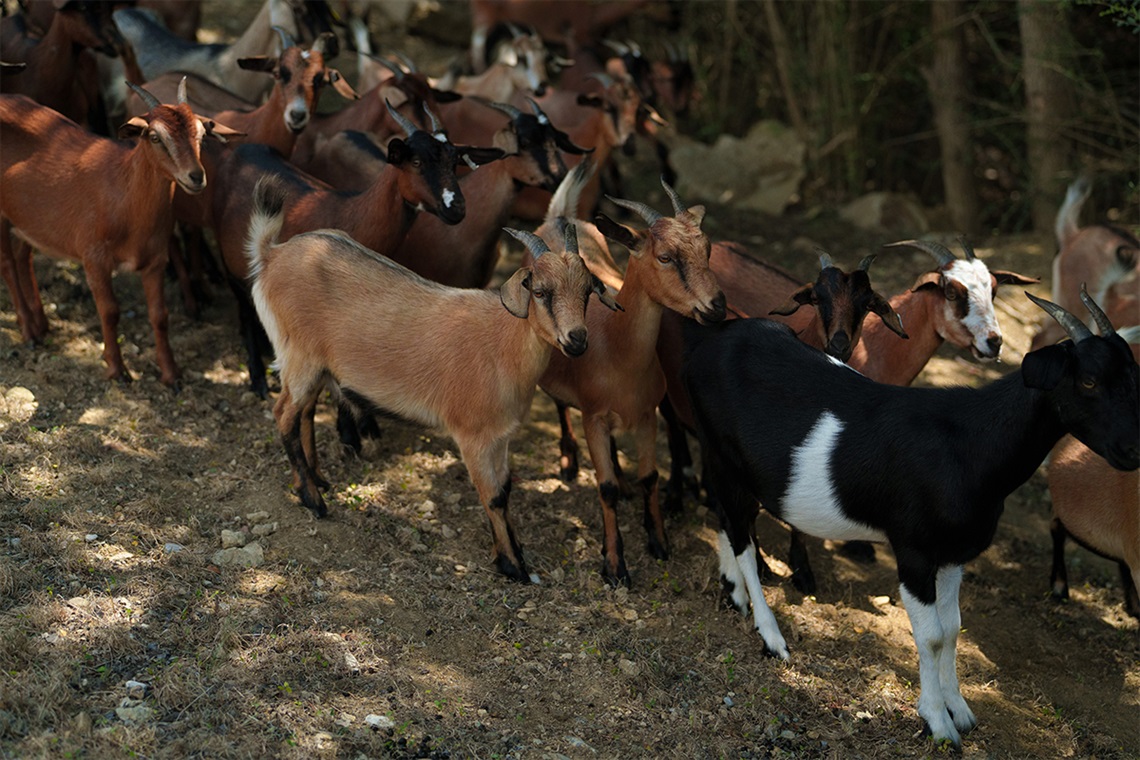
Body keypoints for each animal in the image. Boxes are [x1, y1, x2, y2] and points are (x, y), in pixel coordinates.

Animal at [0, 83, 240, 386]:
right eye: (154, 137)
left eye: (201, 134)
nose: (196, 177)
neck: (124, 198)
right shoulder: (94, 258)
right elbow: (110, 312)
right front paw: (117, 370)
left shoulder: (155, 260)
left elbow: (159, 316)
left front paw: (171, 374)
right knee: (7, 264)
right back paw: (29, 333)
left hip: (27, 219)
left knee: (23, 257)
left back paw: (42, 326)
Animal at [246, 177, 620, 581]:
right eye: (540, 291)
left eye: (587, 291)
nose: (577, 340)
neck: (502, 345)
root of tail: (271, 254)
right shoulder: (473, 437)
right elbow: (493, 496)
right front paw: (512, 565)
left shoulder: (501, 437)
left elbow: (505, 489)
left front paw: (511, 552)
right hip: (298, 357)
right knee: (284, 414)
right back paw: (313, 499)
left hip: (312, 367)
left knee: (304, 413)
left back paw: (316, 480)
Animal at [532, 176, 725, 586]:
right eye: (665, 256)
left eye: (707, 248)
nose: (717, 306)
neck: (616, 348)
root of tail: (558, 217)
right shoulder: (593, 417)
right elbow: (603, 489)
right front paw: (614, 565)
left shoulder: (647, 415)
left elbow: (650, 477)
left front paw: (659, 541)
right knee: (559, 404)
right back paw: (568, 461)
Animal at [682, 287, 1139, 749]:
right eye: (1088, 380)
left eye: (1132, 375)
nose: (1133, 449)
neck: (969, 444)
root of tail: (713, 339)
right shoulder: (914, 550)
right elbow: (932, 635)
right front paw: (937, 722)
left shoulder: (954, 553)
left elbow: (953, 628)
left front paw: (960, 710)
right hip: (722, 455)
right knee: (741, 535)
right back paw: (771, 636)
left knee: (726, 520)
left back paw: (734, 594)